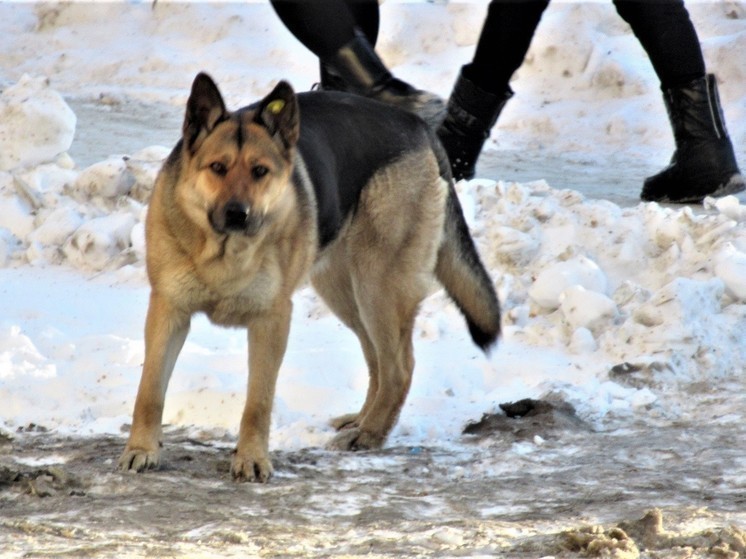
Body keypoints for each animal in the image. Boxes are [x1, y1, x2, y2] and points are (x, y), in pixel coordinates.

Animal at [117, 72, 500, 482]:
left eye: (260, 171)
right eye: (217, 168)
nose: (238, 214)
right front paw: (141, 449)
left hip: (377, 288)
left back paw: (369, 434)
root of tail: (420, 128)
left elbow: (258, 402)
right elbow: (149, 390)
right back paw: (360, 420)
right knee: (377, 362)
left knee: (399, 367)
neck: (224, 252)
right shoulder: (168, 312)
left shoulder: (271, 321)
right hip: (346, 293)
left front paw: (251, 458)